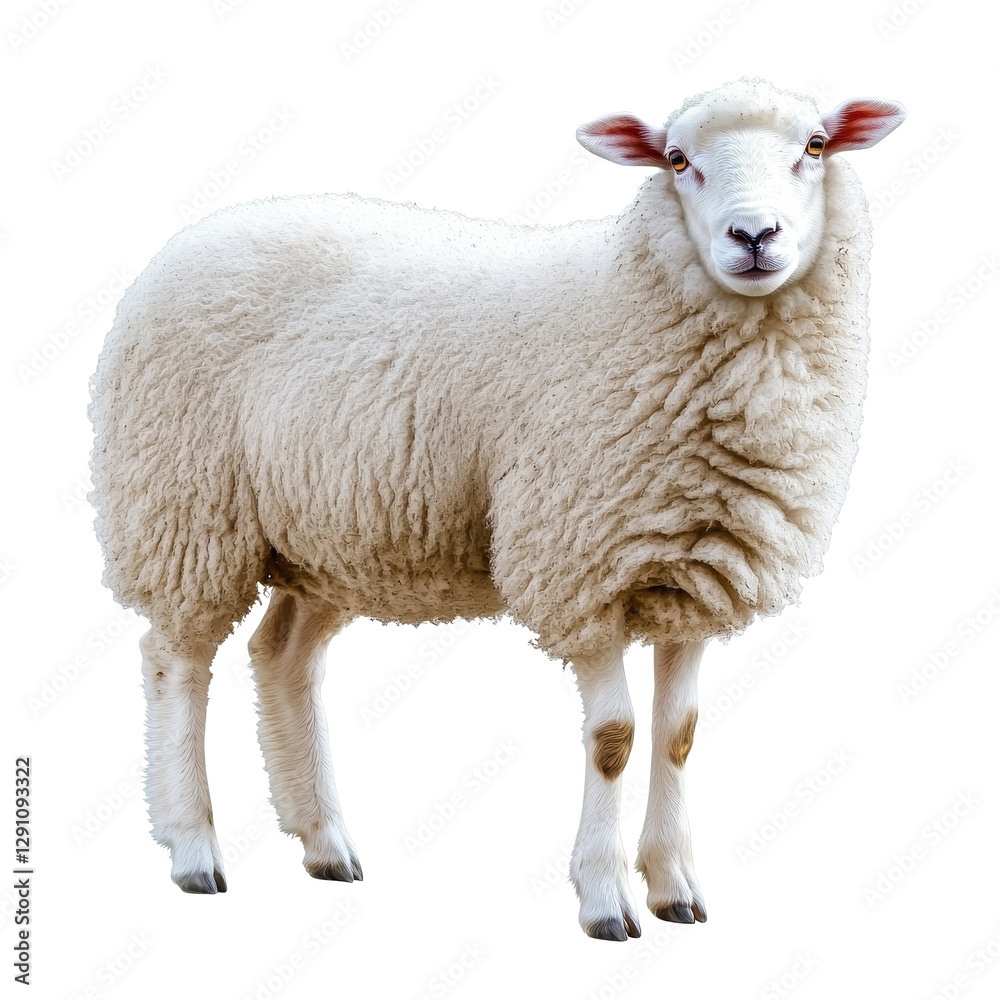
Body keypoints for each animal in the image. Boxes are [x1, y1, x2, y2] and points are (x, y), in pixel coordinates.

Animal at [88, 78, 905, 940]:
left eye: (815, 146)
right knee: (176, 661)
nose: (754, 235)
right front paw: (604, 898)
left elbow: (679, 737)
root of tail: (194, 235)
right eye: (678, 160)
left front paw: (675, 888)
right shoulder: (578, 566)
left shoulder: (690, 574)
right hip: (183, 510)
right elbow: (614, 739)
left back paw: (325, 843)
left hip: (327, 534)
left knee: (282, 656)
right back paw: (193, 848)